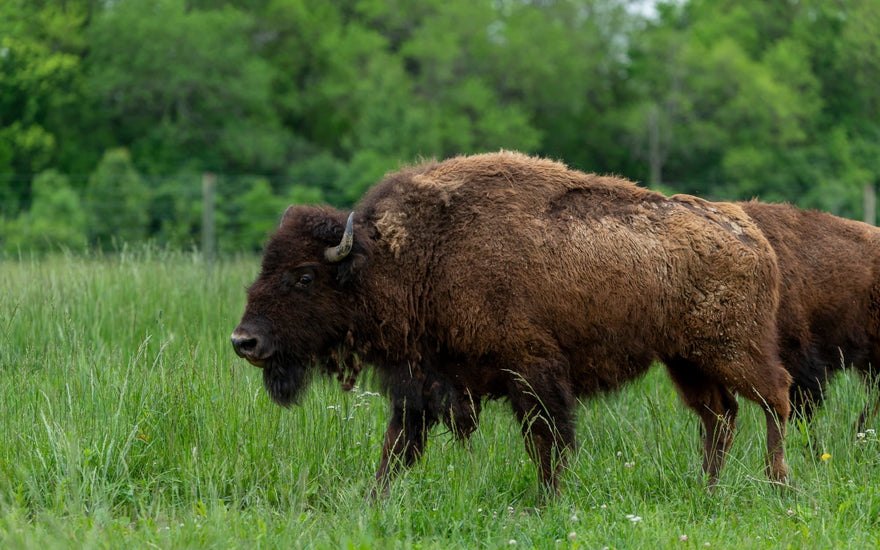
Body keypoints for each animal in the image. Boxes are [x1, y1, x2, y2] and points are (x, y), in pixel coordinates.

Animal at [231, 152, 792, 494]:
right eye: (264, 267)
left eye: (304, 276)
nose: (244, 340)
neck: (412, 256)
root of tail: (749, 233)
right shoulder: (422, 383)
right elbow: (397, 448)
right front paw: (374, 501)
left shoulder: (532, 370)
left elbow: (547, 440)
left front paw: (546, 502)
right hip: (686, 361)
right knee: (720, 416)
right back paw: (708, 489)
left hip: (731, 350)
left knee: (775, 398)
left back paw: (777, 485)